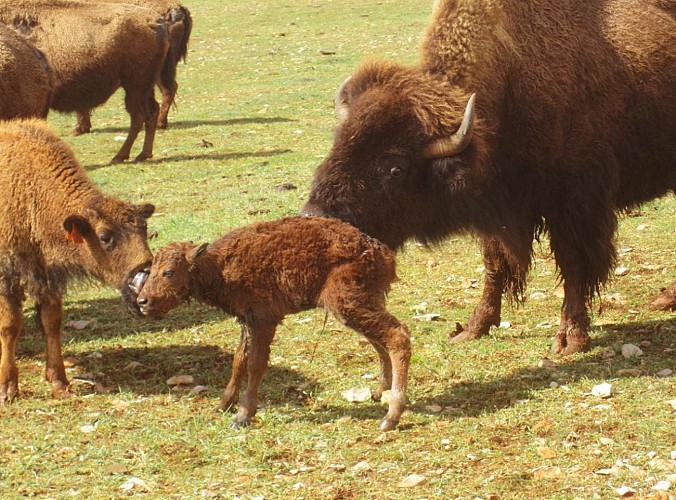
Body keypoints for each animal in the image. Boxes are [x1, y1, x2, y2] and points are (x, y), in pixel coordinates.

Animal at [0, 0, 169, 162]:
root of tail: (156, 21)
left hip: (135, 86)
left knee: (139, 115)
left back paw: (120, 156)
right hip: (145, 86)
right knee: (152, 111)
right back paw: (142, 154)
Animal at [0, 119, 154, 404]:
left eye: (143, 228)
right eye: (104, 237)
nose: (146, 272)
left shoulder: (48, 279)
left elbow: (51, 324)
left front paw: (59, 382)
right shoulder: (7, 277)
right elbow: (10, 326)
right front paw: (7, 389)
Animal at [136, 217, 412, 432]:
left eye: (169, 272)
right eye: (151, 271)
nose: (142, 301)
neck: (219, 266)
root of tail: (383, 253)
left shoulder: (263, 321)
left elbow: (255, 364)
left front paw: (243, 415)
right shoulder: (247, 322)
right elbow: (239, 360)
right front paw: (224, 404)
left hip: (349, 304)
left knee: (397, 336)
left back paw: (391, 416)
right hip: (358, 306)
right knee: (380, 341)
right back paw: (380, 392)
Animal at [302, 0, 676, 360]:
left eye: (396, 168)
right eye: (338, 140)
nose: (314, 217)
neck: (510, 80)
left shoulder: (575, 207)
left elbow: (574, 268)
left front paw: (570, 339)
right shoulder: (497, 212)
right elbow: (495, 265)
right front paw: (473, 328)